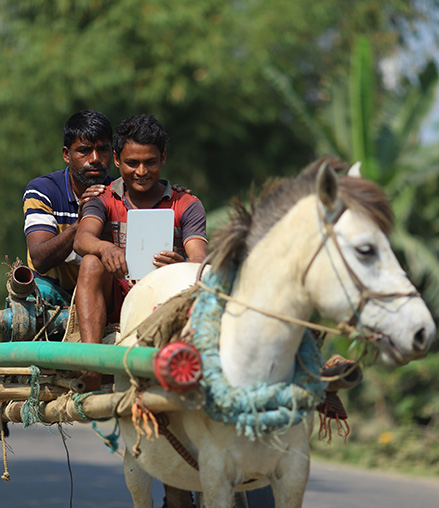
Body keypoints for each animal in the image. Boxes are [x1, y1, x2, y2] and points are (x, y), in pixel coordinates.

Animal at [113, 160, 436, 508]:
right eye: (366, 250)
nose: (423, 331)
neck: (254, 370)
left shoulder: (292, 474)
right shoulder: (216, 475)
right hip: (138, 463)